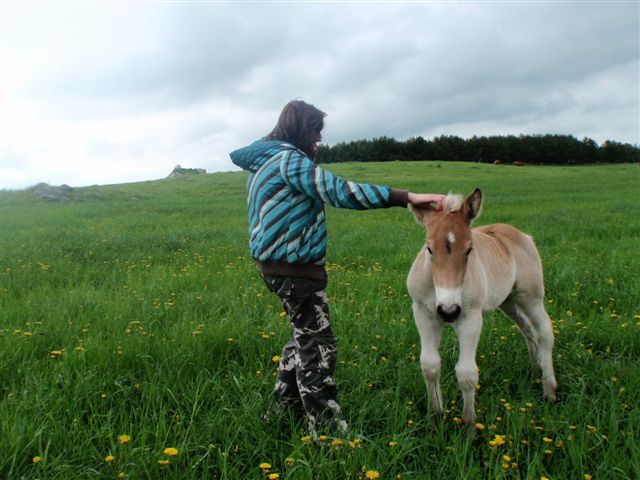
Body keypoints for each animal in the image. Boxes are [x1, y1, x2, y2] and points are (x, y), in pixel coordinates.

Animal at [410, 189, 556, 426]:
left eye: (469, 249)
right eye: (429, 249)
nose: (449, 311)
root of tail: (522, 235)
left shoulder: (470, 318)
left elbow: (467, 374)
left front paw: (469, 426)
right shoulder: (423, 314)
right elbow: (430, 366)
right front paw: (435, 418)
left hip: (531, 297)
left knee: (545, 332)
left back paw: (549, 389)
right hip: (508, 301)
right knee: (527, 329)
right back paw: (535, 369)